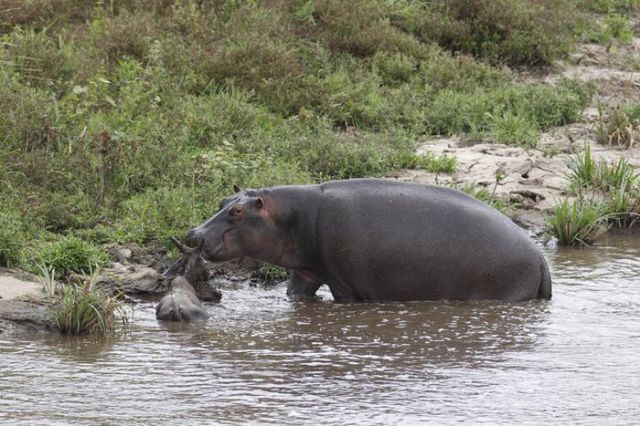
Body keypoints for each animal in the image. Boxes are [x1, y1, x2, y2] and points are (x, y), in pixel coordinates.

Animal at [185, 180, 552, 302]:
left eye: (238, 212)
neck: (288, 216)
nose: (193, 235)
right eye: (222, 201)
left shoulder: (344, 283)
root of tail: (539, 257)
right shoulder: (306, 271)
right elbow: (297, 295)